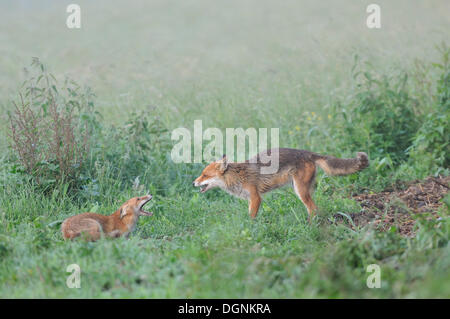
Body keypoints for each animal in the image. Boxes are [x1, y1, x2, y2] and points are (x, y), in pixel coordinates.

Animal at [193, 149, 370, 220]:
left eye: (205, 175)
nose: (193, 182)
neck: (237, 176)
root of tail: (310, 153)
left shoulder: (256, 198)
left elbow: (251, 218)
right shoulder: (252, 199)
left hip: (300, 191)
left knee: (314, 209)